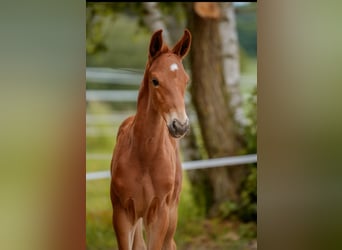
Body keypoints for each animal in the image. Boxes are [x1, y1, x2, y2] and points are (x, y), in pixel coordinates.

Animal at [111, 29, 192, 250]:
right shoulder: (122, 213)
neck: (145, 157)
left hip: (171, 216)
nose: (180, 125)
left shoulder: (160, 213)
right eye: (155, 80)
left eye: (186, 80)